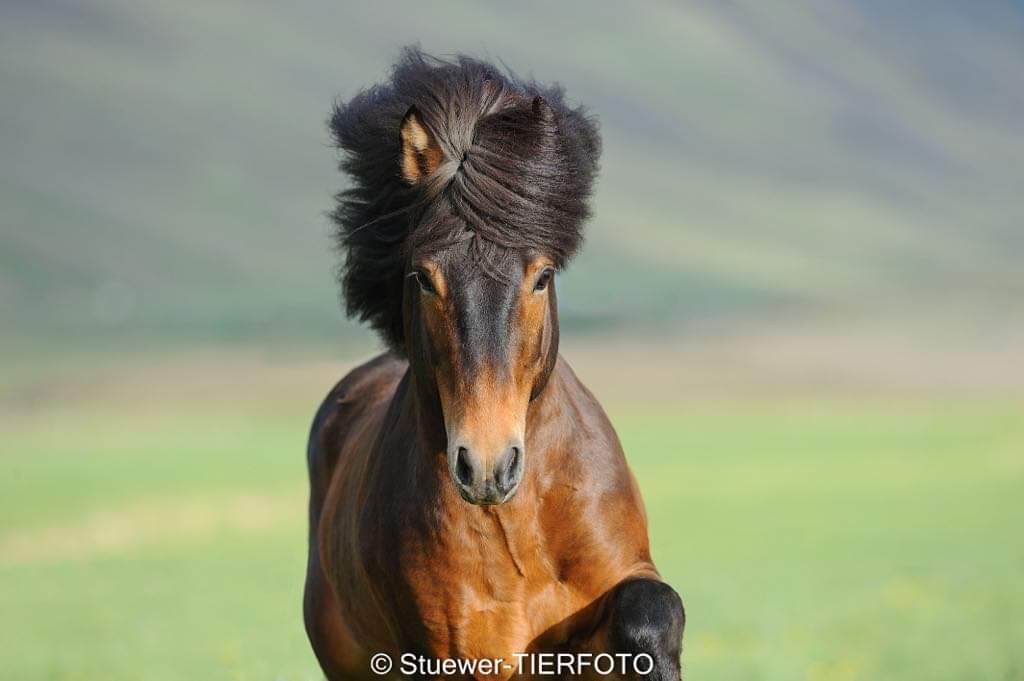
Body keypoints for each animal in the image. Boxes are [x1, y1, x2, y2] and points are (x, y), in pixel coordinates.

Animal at [305, 49, 688, 679]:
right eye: (424, 278)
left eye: (542, 275)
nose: (487, 467)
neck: (520, 525)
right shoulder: (463, 652)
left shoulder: (614, 595)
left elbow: (652, 613)